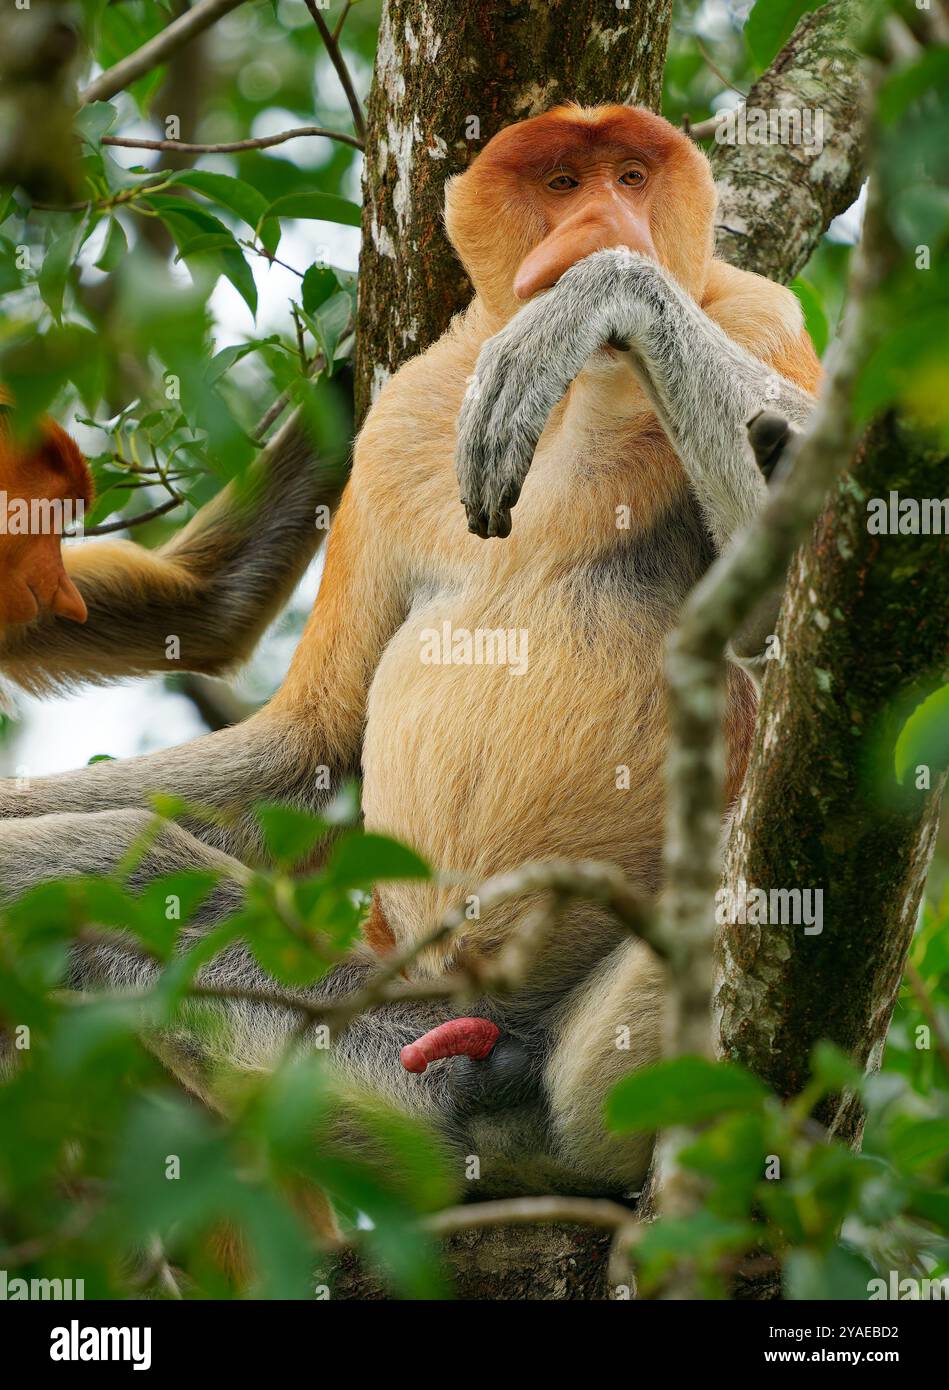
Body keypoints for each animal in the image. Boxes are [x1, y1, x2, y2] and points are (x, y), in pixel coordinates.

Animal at [0, 105, 821, 1197]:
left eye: (633, 178)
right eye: (563, 183)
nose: (606, 225)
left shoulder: (762, 317)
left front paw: (596, 297)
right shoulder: (399, 423)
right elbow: (309, 746)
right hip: (378, 1041)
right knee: (110, 872)